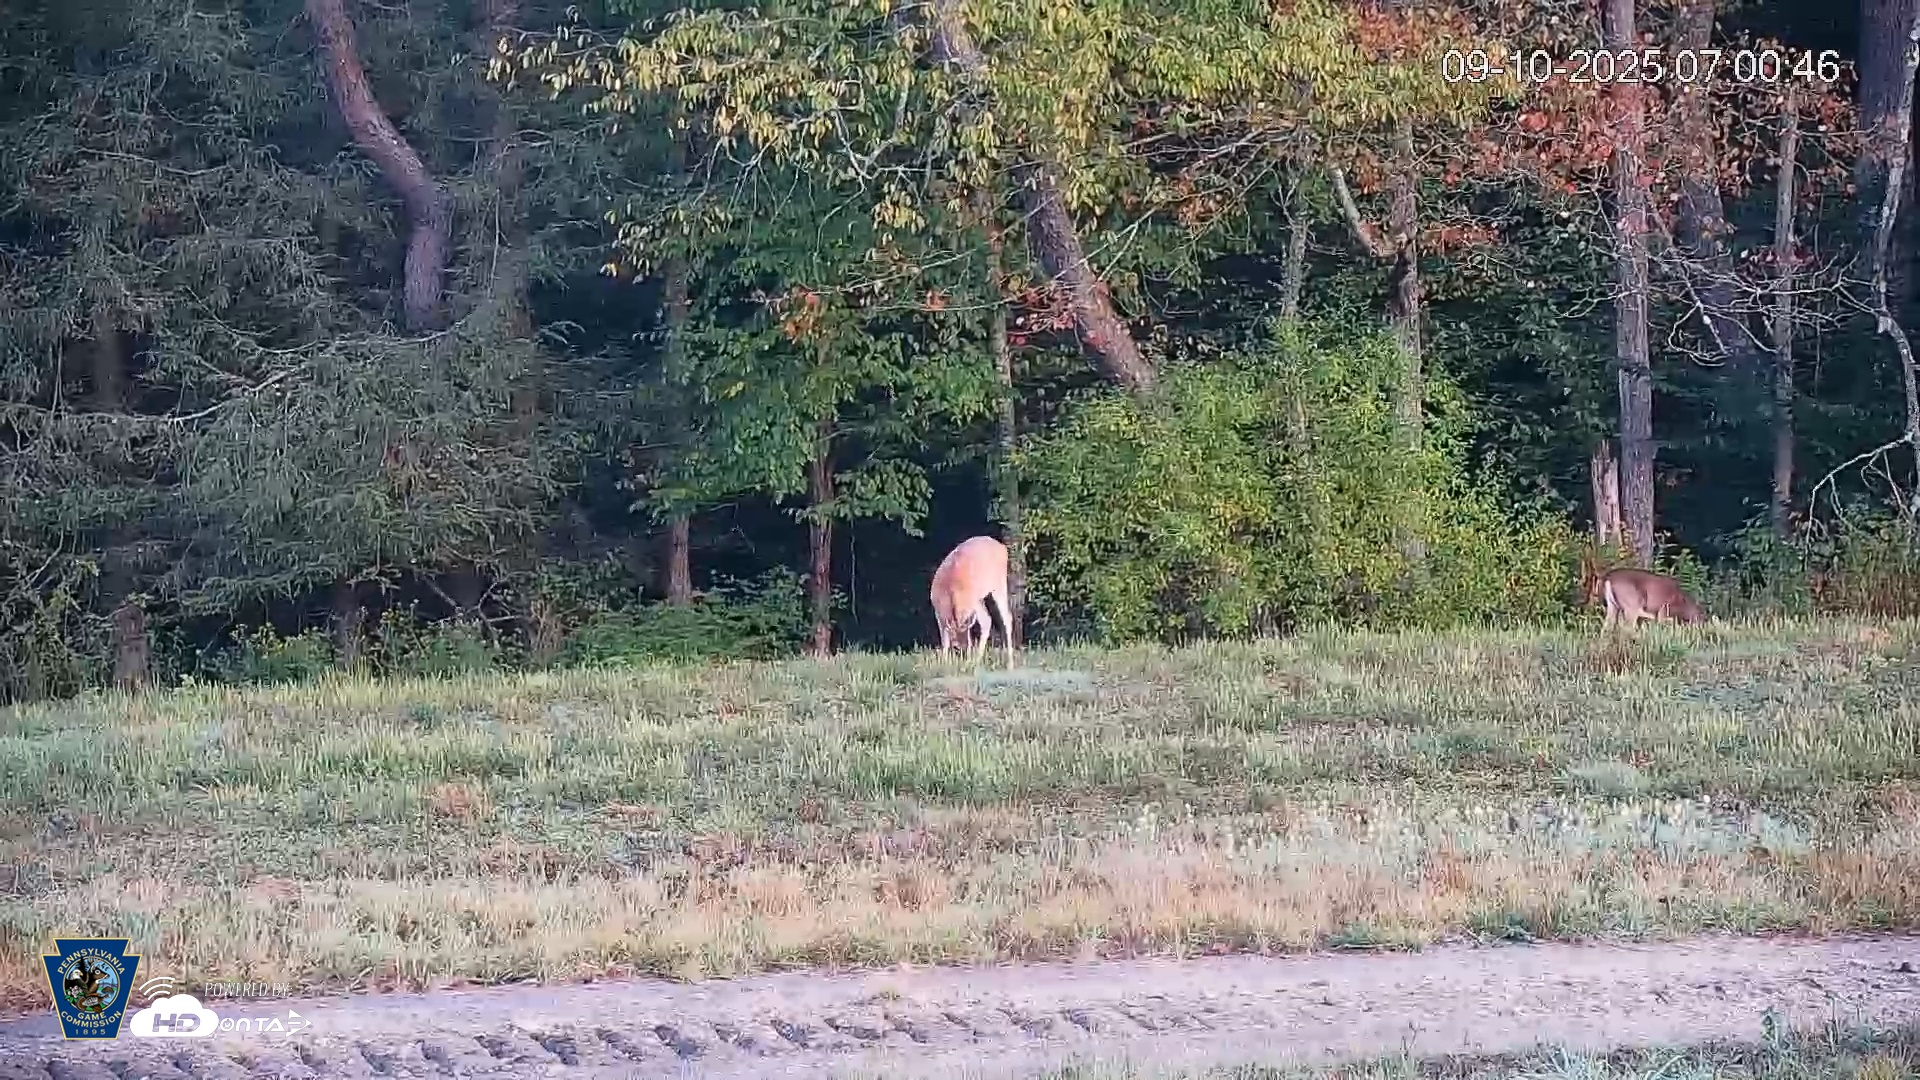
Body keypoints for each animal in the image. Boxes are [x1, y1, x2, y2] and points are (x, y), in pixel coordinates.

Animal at [930, 535, 1015, 667]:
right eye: (956, 647)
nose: (963, 653)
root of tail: (1002, 547)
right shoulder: (937, 610)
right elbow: (945, 638)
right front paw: (945, 662)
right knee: (989, 620)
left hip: (998, 584)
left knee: (1003, 618)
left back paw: (1008, 664)